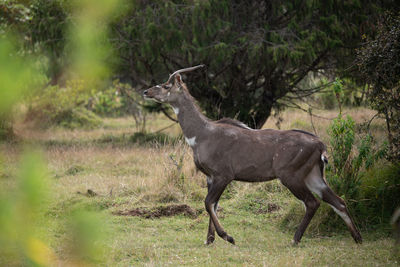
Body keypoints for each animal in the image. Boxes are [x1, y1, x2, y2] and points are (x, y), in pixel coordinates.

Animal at [144, 65, 362, 247]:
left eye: (166, 85)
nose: (146, 92)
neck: (201, 134)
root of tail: (320, 144)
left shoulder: (224, 175)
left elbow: (208, 203)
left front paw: (228, 237)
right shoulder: (210, 177)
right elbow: (213, 205)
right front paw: (209, 240)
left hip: (291, 176)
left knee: (312, 202)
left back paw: (294, 240)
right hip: (314, 176)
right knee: (338, 202)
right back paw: (358, 238)